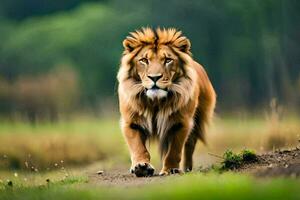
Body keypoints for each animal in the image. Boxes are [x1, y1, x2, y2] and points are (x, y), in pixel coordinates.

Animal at [116, 27, 216, 177]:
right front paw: (141, 167)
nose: (154, 77)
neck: (156, 102)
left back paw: (187, 169)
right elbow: (138, 147)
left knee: (190, 145)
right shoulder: (131, 122)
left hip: (199, 119)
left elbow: (174, 150)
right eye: (144, 60)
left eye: (168, 60)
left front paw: (171, 169)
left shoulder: (181, 123)